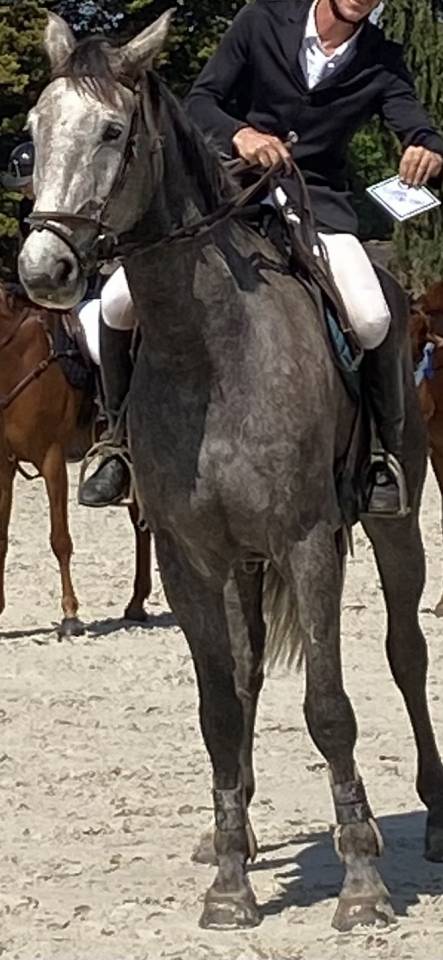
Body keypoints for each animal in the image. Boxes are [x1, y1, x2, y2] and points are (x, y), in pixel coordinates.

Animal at [0, 282, 152, 637]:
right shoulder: (3, 465)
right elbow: (1, 539)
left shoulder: (52, 460)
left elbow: (60, 539)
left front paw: (70, 615)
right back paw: (136, 604)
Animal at [17, 10, 443, 933]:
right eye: (34, 129)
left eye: (112, 132)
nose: (43, 270)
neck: (206, 347)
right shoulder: (190, 554)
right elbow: (218, 704)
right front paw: (227, 883)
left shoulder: (307, 543)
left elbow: (328, 709)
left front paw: (360, 884)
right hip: (241, 563)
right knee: (247, 670)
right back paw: (235, 832)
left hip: (391, 527)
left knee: (406, 652)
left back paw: (431, 819)